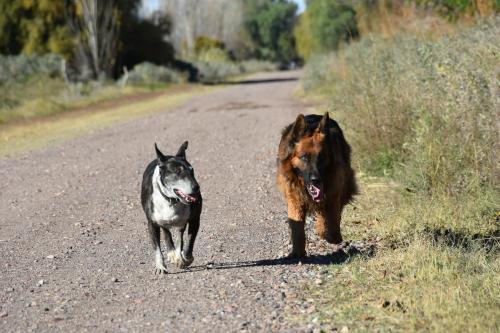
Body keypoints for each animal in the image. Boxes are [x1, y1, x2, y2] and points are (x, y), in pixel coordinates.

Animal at [278, 111, 356, 256]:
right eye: (304, 157)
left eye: (322, 157)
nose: (316, 179)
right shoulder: (294, 198)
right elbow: (297, 227)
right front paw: (297, 251)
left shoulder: (333, 191)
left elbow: (331, 215)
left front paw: (331, 234)